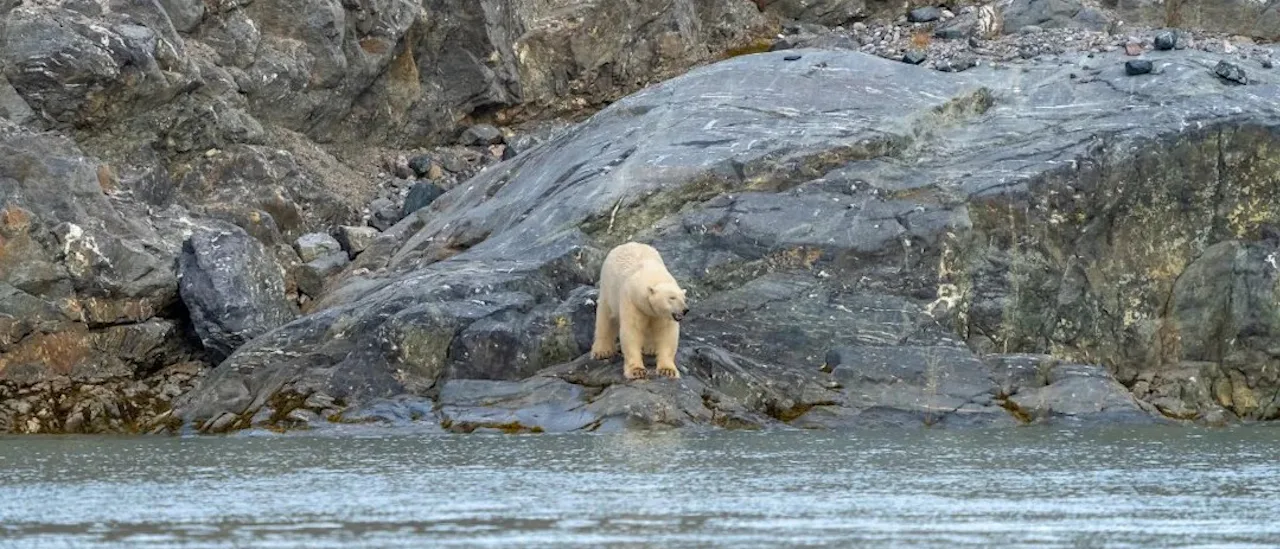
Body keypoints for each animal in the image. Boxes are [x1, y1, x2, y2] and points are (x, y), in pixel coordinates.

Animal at [590, 241, 689, 380]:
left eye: (684, 298)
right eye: (672, 298)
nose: (685, 310)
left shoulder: (662, 315)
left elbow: (666, 333)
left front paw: (667, 370)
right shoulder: (631, 301)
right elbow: (632, 331)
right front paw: (637, 371)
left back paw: (650, 348)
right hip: (608, 288)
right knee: (606, 318)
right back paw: (602, 351)